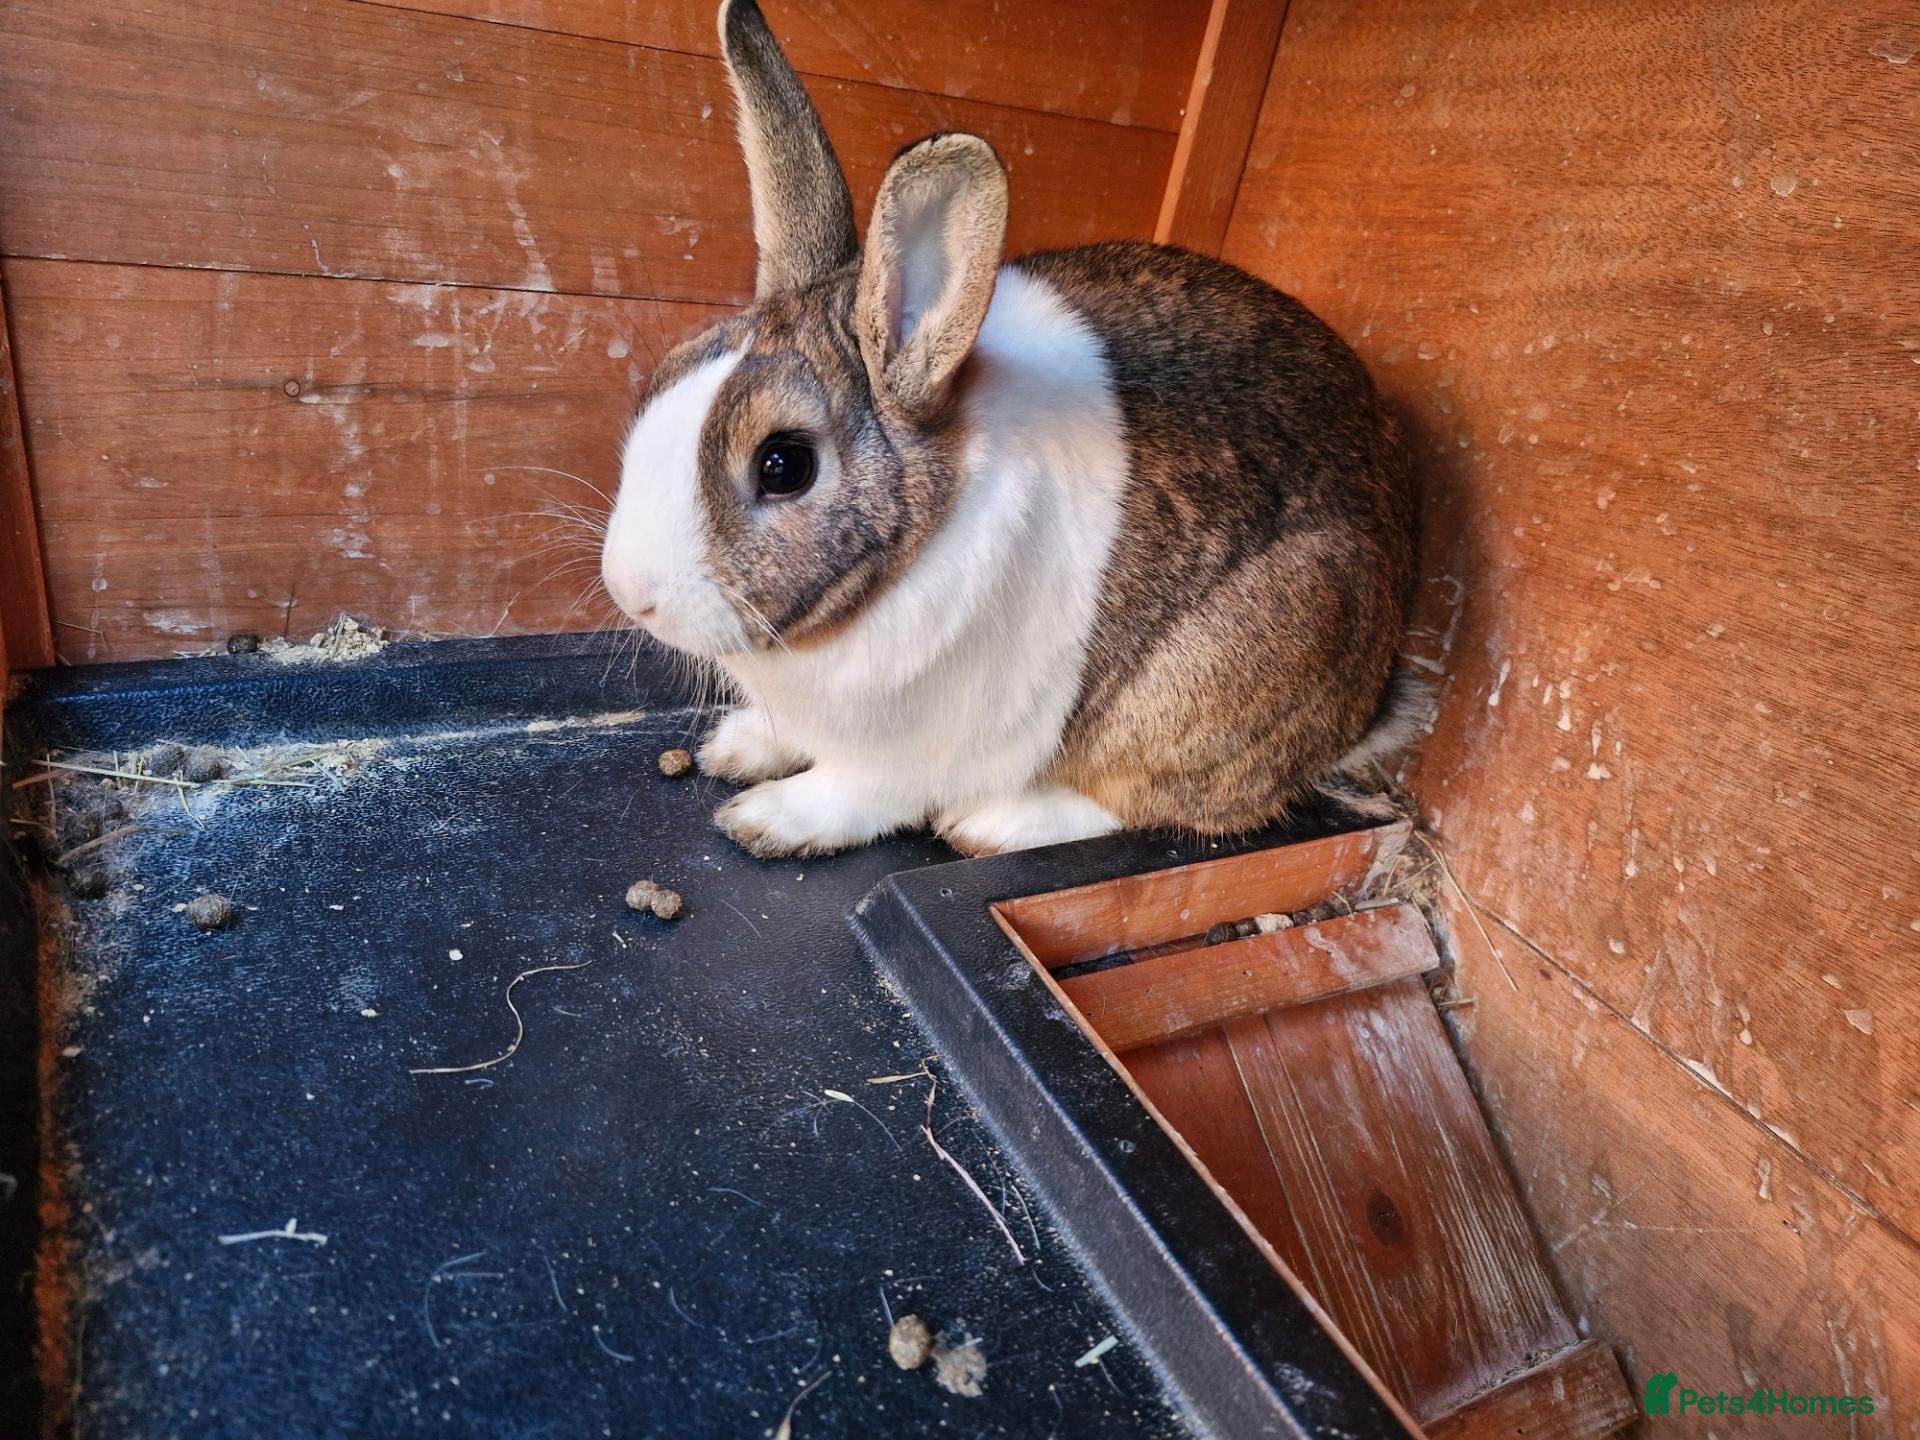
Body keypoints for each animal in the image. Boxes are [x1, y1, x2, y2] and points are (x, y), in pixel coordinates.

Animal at [599, 0, 1418, 858]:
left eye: (783, 465)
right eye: (663, 381)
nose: (629, 591)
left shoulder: (902, 758)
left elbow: (856, 794)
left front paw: (766, 818)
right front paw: (739, 746)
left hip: (1216, 681)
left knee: (1162, 802)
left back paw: (993, 824)